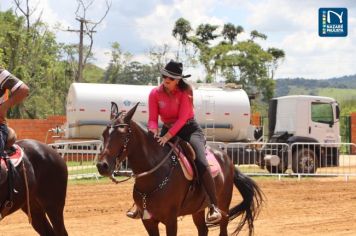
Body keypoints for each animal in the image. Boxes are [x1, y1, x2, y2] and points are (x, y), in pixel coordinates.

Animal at [97, 103, 264, 236]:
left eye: (122, 135)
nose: (102, 166)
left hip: (223, 207)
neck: (154, 176)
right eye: (104, 133)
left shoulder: (171, 220)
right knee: (203, 230)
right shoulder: (148, 221)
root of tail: (227, 158)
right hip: (198, 209)